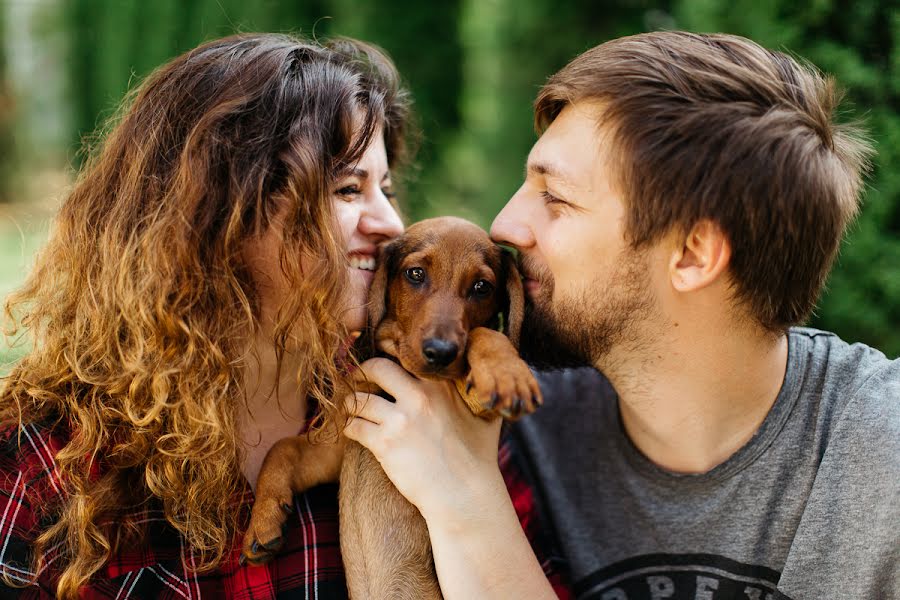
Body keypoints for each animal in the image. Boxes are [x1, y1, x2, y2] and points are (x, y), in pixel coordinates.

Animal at [239, 218, 544, 596]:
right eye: (415, 274)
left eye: (481, 287)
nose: (441, 352)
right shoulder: (337, 441)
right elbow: (281, 450)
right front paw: (263, 521)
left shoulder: (474, 403)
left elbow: (484, 335)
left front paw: (506, 374)